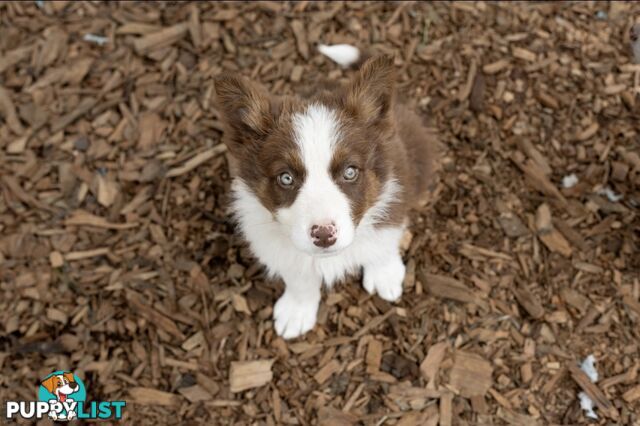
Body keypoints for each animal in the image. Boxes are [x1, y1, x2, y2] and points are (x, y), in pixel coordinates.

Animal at [212, 46, 438, 340]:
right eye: (286, 178)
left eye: (350, 172)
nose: (323, 235)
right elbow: (298, 274)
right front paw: (297, 311)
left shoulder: (394, 189)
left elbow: (384, 239)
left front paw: (384, 274)